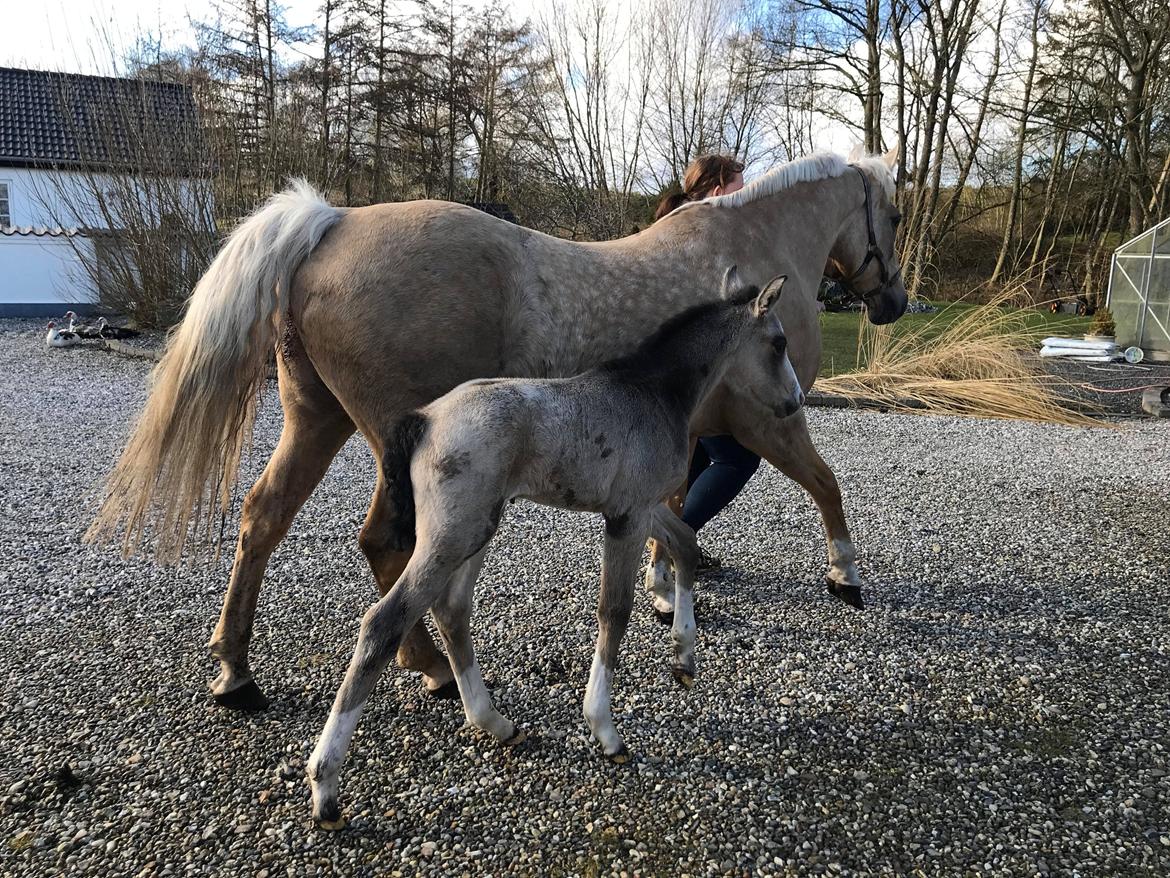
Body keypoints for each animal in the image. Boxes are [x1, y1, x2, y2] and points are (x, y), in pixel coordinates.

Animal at [88, 146, 903, 707]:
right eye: (893, 215)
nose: (893, 301)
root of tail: (333, 222)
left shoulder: (691, 434)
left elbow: (677, 509)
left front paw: (667, 588)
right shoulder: (766, 421)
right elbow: (825, 486)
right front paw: (845, 576)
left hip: (316, 421)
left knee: (263, 518)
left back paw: (237, 671)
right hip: (393, 440)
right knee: (384, 543)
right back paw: (432, 669)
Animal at [308, 273, 804, 824]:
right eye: (779, 343)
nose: (794, 402)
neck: (654, 392)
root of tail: (425, 419)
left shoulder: (645, 504)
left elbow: (686, 544)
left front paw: (683, 655)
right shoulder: (627, 516)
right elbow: (615, 610)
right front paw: (605, 730)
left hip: (477, 529)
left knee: (451, 609)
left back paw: (495, 723)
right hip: (454, 533)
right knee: (384, 622)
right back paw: (325, 786)